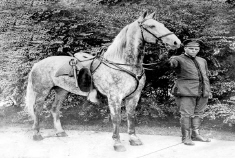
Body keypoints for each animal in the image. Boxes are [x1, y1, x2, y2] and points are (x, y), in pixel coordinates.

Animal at [24, 11, 181, 152]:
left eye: (162, 24)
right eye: (152, 26)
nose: (176, 42)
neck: (124, 64)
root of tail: (37, 64)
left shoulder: (133, 97)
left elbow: (131, 116)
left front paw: (133, 139)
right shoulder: (115, 97)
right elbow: (116, 118)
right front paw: (117, 143)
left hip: (61, 91)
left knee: (55, 109)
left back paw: (60, 132)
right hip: (42, 91)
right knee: (37, 109)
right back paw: (37, 134)